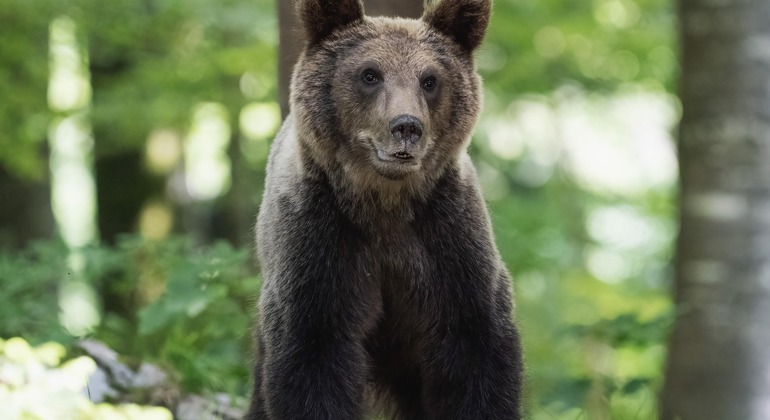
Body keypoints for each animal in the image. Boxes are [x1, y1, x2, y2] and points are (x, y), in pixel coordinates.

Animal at [248, 0, 523, 419]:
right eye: (370, 74)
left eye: (430, 79)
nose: (406, 126)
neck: (385, 205)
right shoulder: (319, 245)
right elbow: (313, 358)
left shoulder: (449, 244)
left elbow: (476, 352)